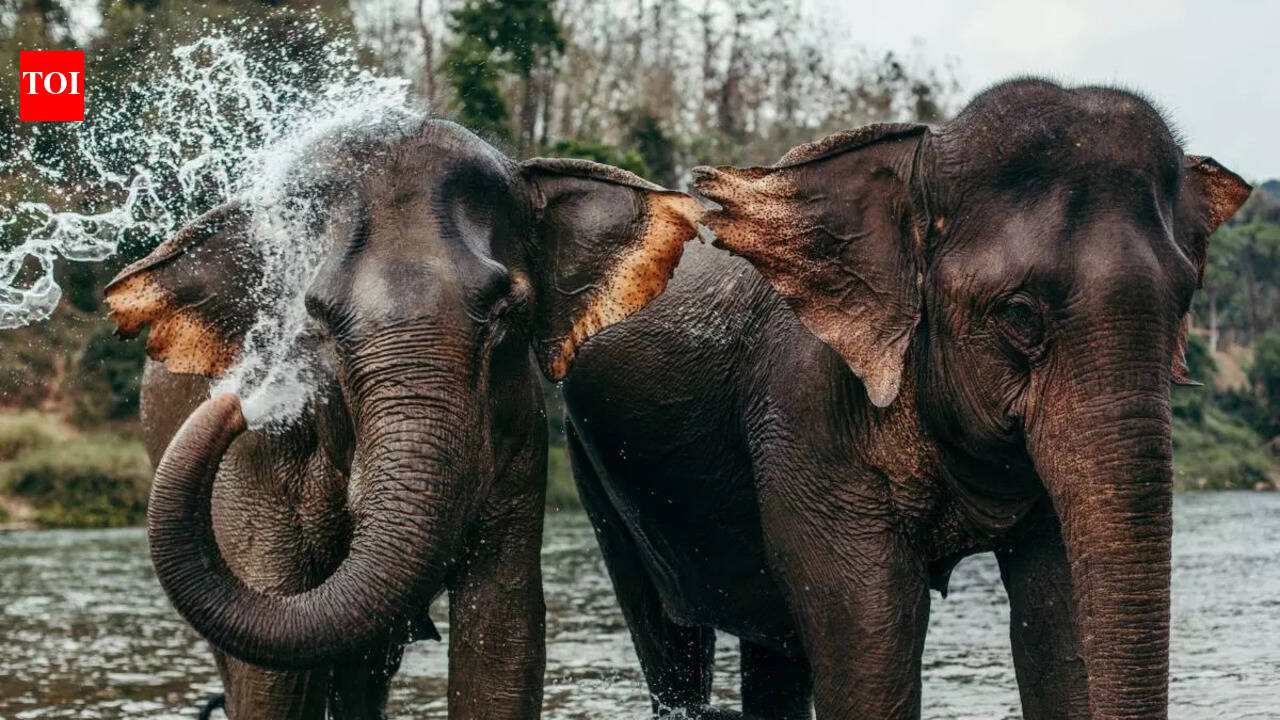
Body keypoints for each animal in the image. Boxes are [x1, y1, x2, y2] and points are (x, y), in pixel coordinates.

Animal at [103, 115, 703, 719]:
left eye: (506, 313)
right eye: (315, 319)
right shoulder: (256, 464)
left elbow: (503, 635)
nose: (234, 404)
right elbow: (272, 672)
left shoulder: (517, 432)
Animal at [559, 79, 1251, 719]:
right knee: (670, 642)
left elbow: (1059, 629)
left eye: (1184, 305)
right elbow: (869, 653)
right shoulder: (807, 411)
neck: (921, 158)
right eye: (1020, 315)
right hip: (593, 468)